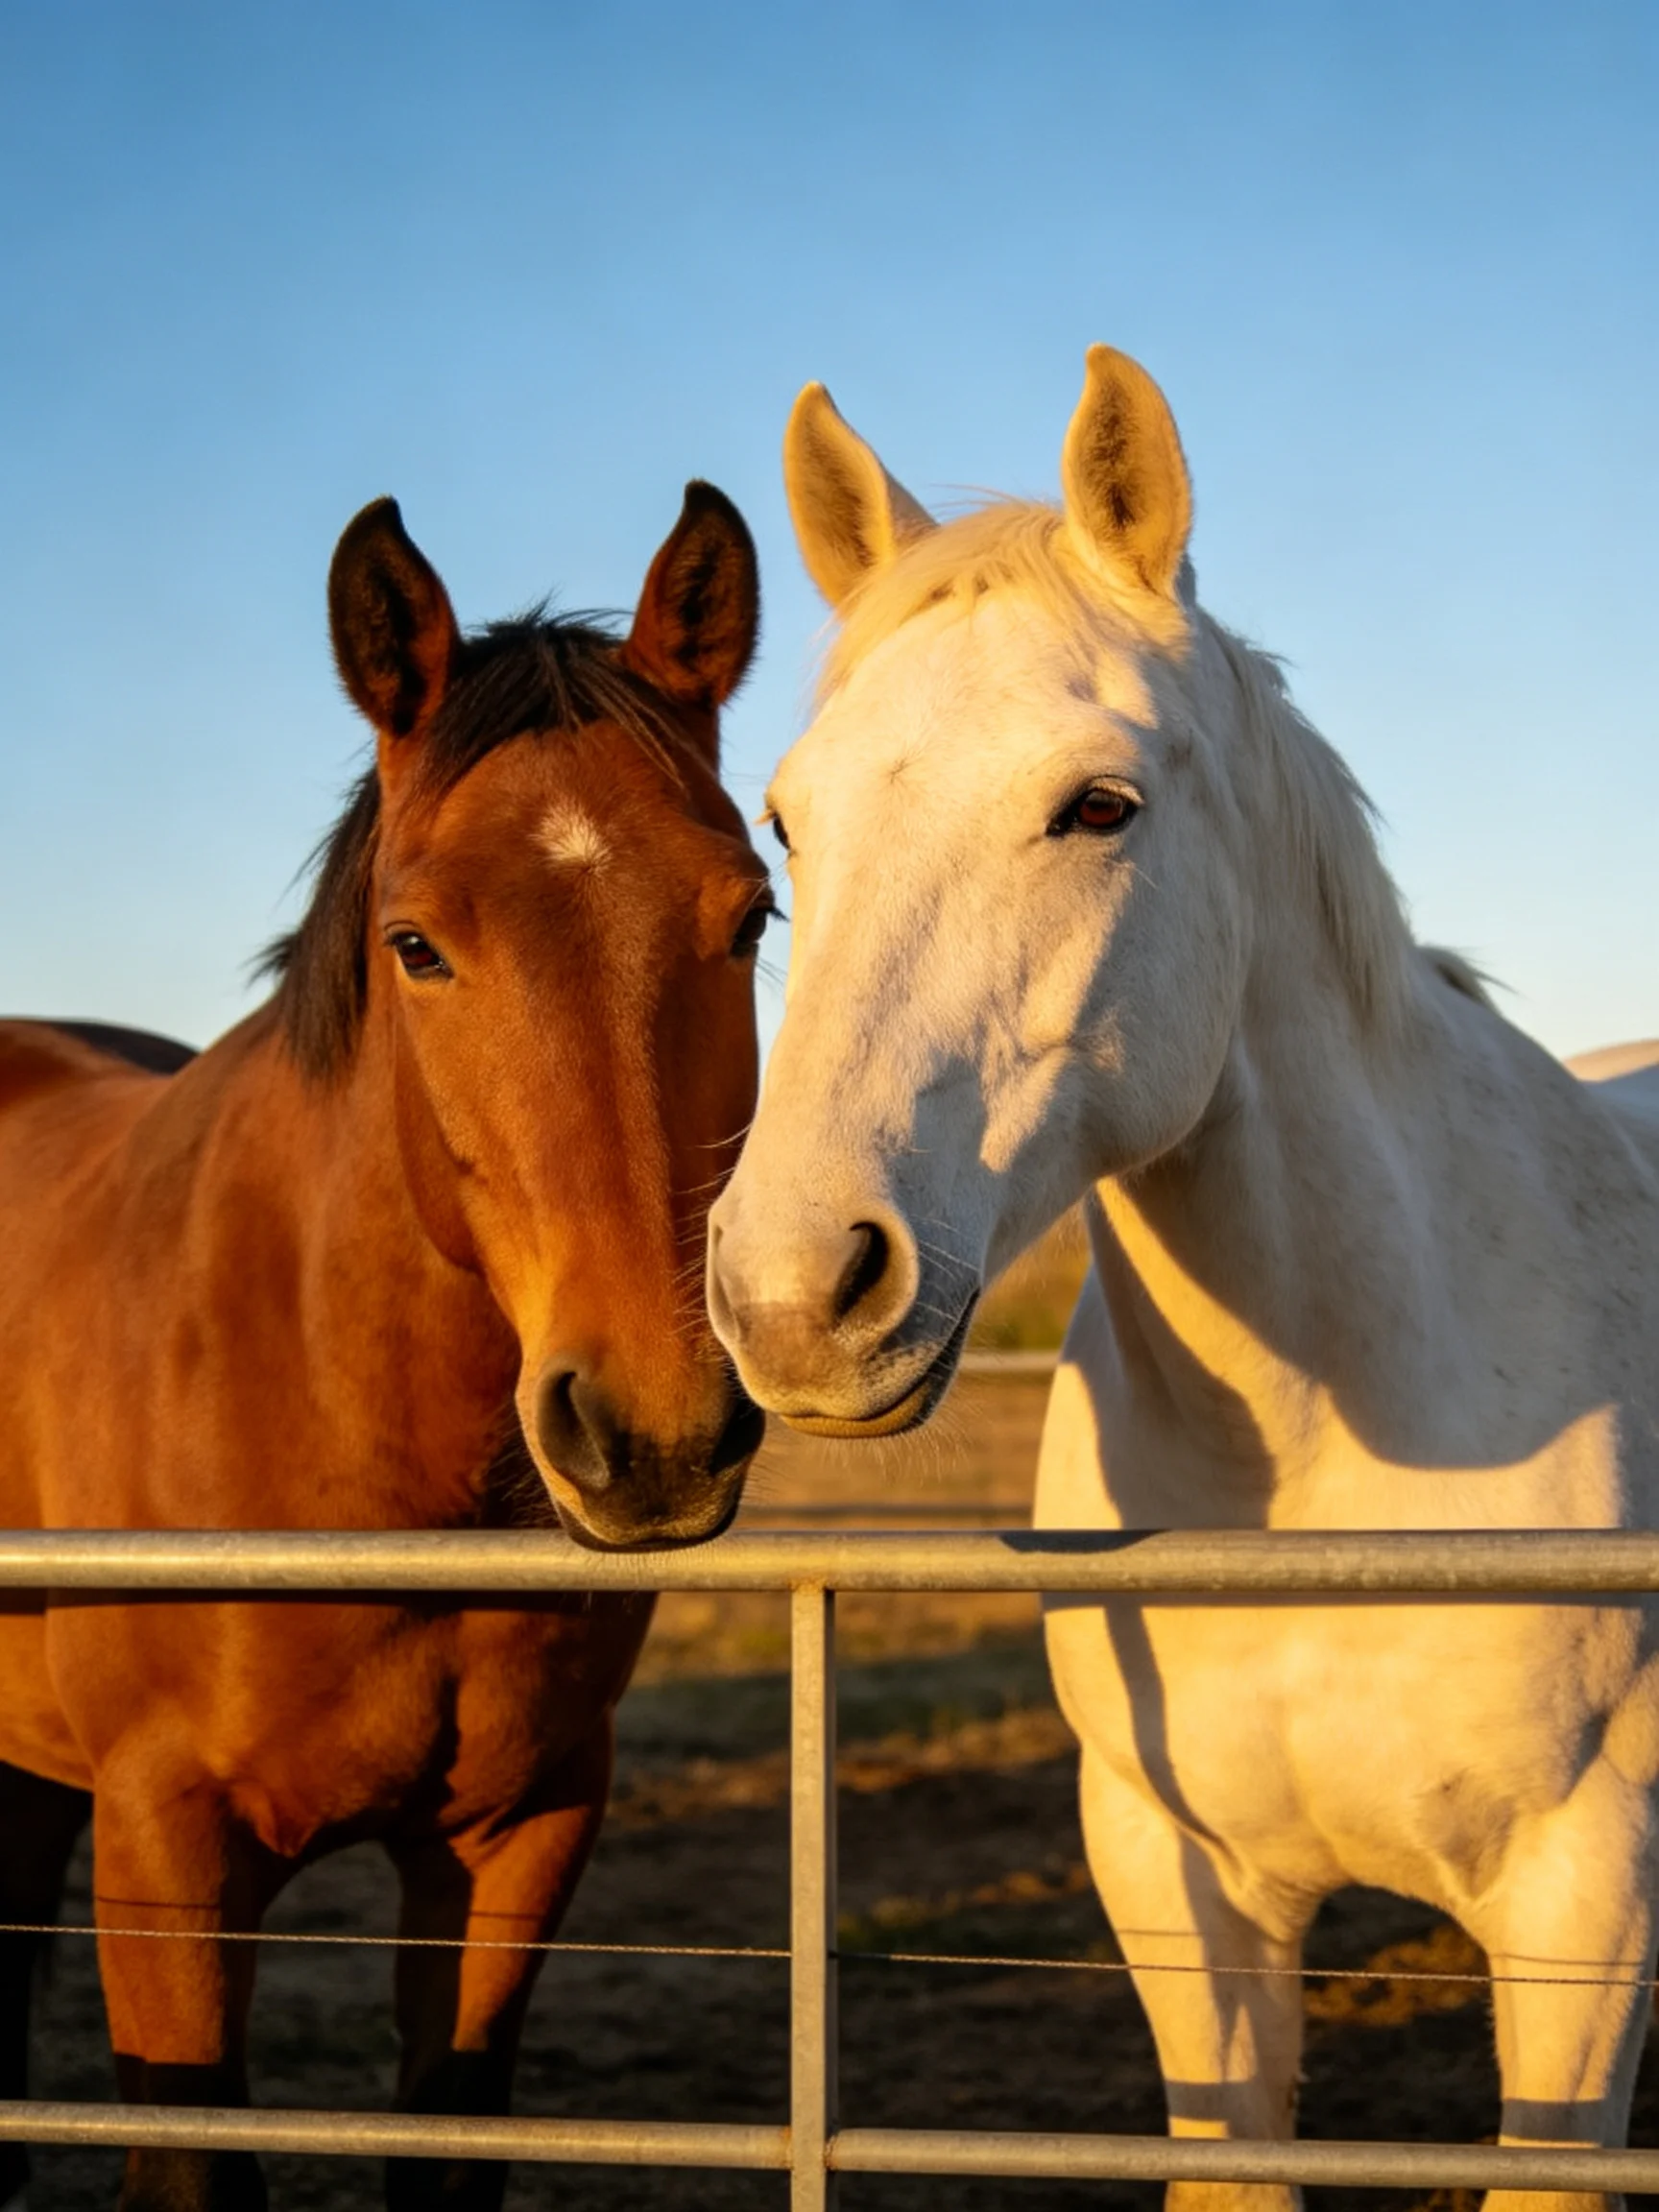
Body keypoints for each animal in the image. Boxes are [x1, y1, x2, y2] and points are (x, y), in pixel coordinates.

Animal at [707, 345, 1659, 2212]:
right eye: (786, 821)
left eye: (1100, 805)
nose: (793, 1293)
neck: (1327, 1459)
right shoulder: (1179, 1895)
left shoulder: (1584, 1918)